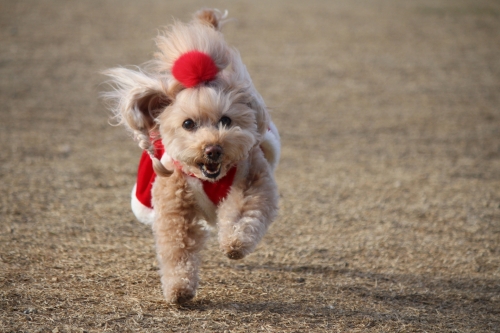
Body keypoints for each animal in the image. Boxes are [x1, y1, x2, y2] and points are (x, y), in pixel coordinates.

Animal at [103, 9, 280, 302]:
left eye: (226, 120)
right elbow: (178, 247)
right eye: (188, 124)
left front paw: (234, 243)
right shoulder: (175, 205)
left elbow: (244, 213)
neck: (210, 178)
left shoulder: (252, 180)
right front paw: (179, 289)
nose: (212, 149)